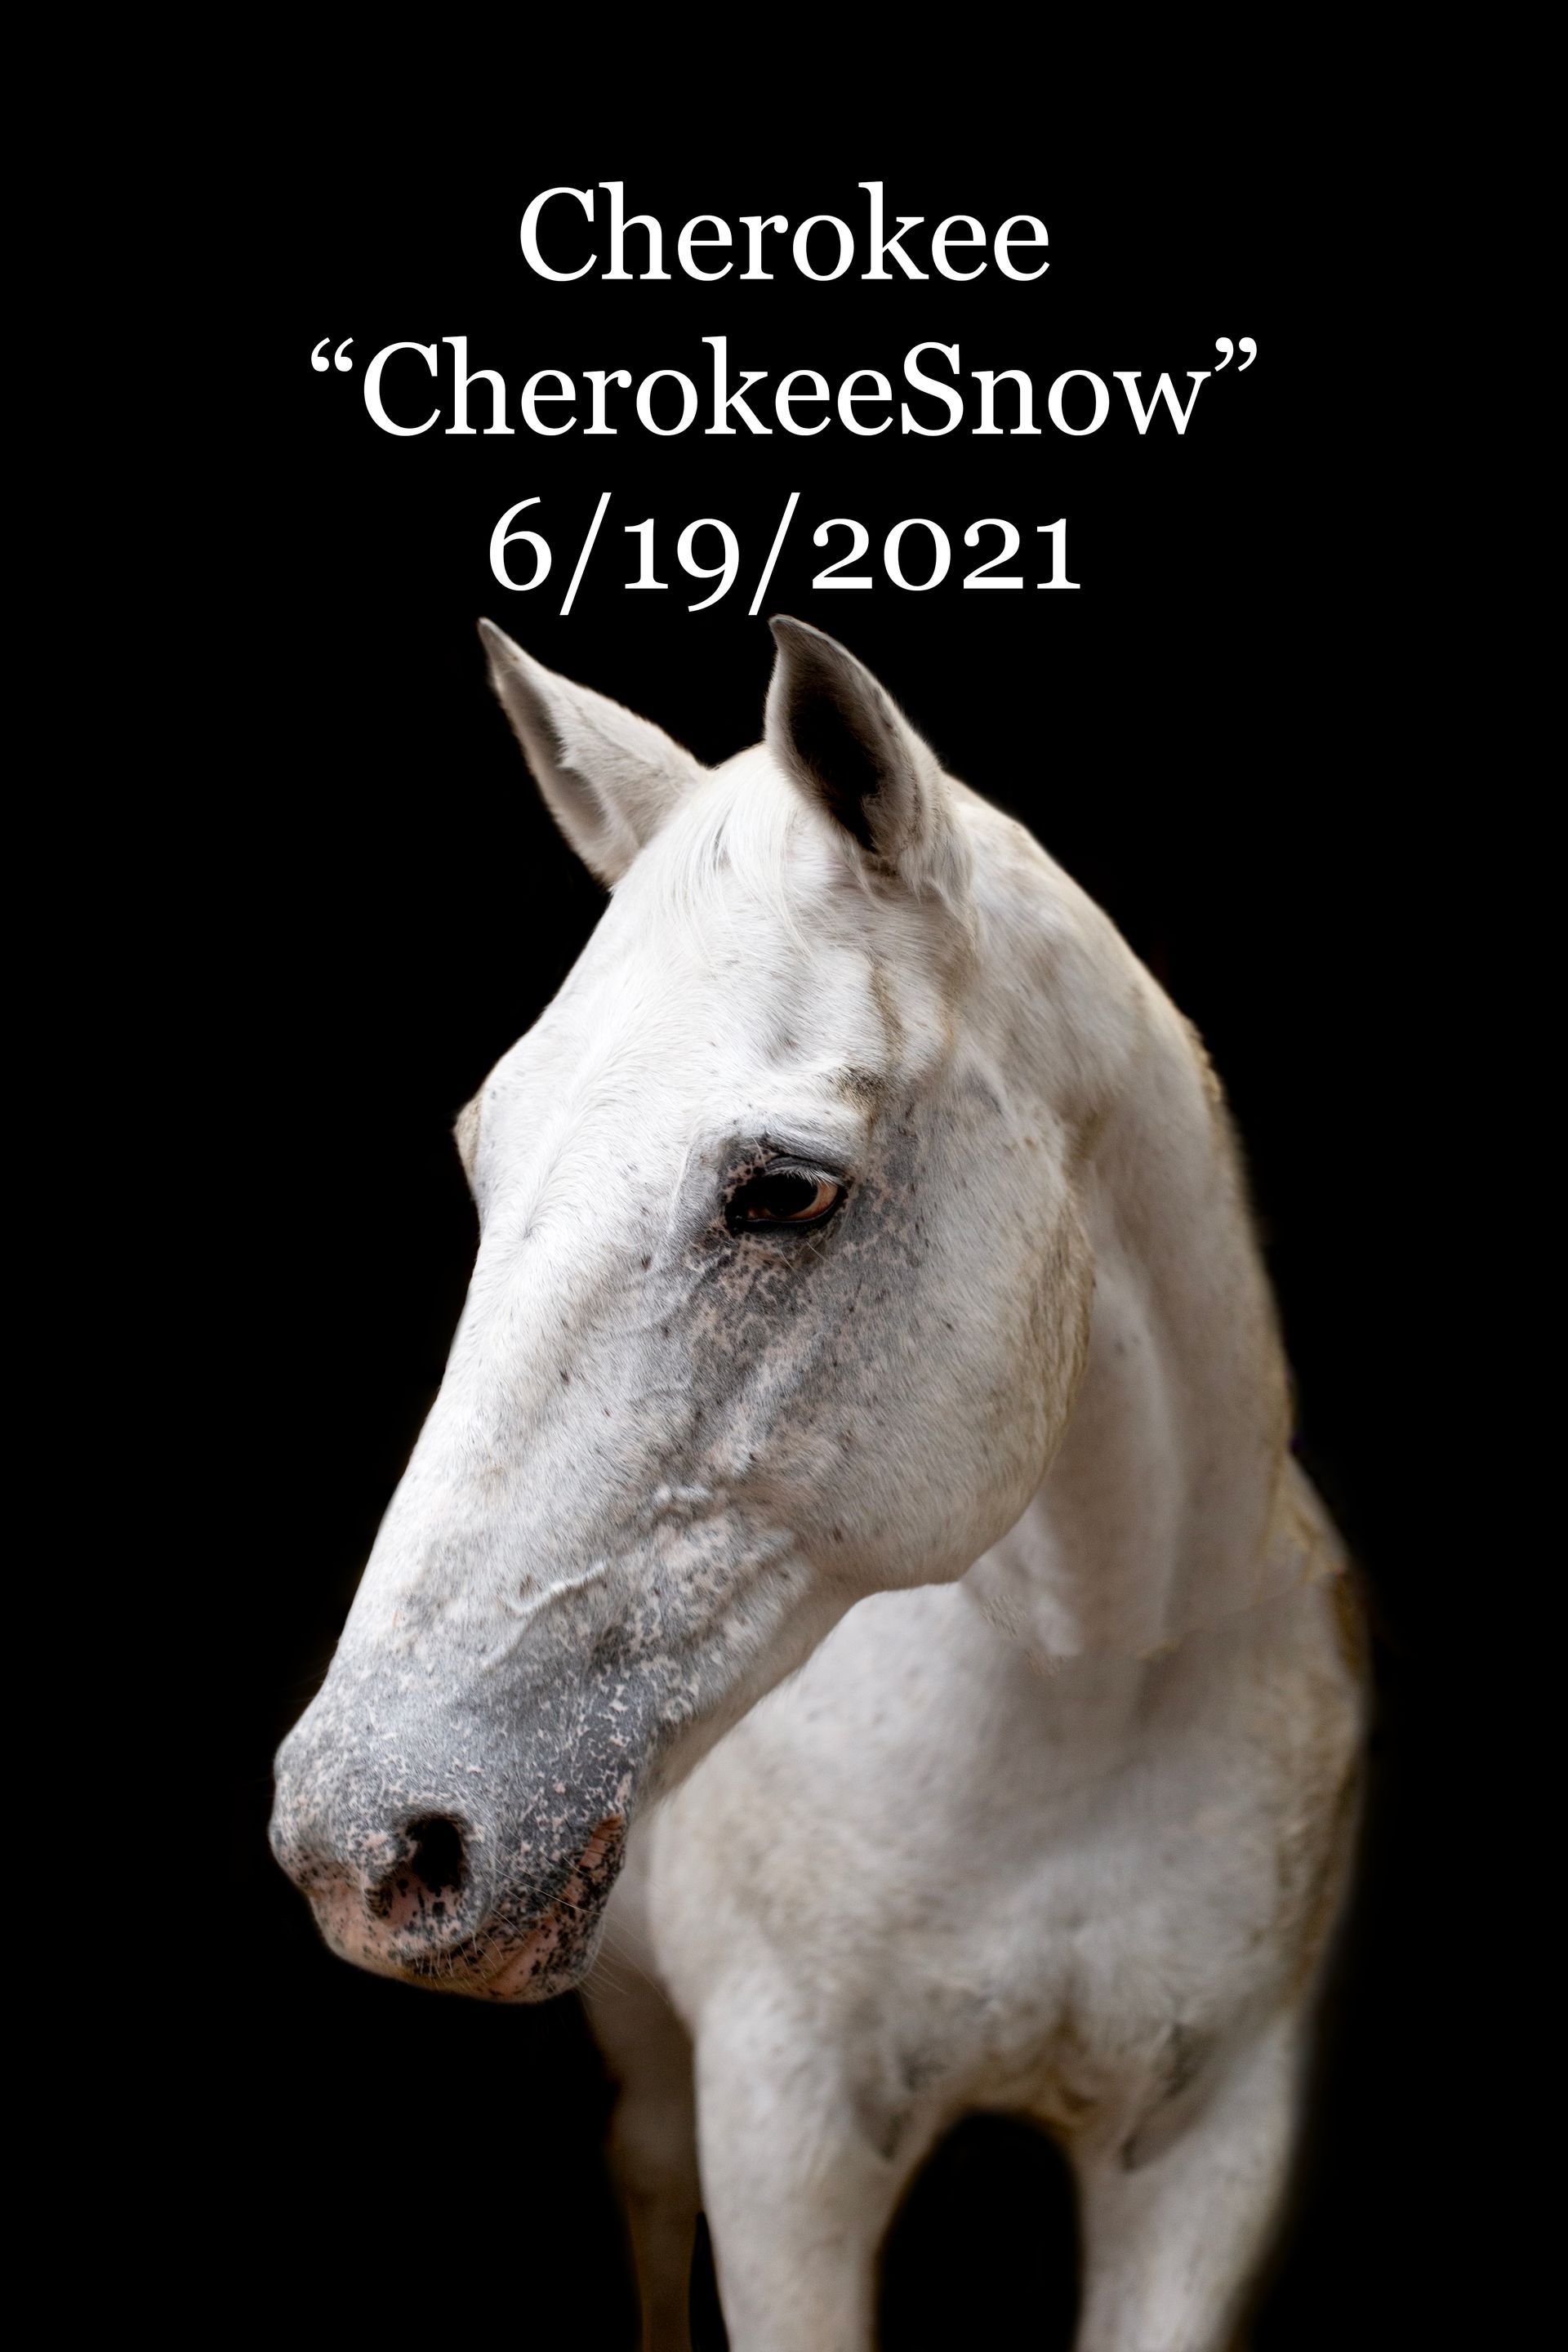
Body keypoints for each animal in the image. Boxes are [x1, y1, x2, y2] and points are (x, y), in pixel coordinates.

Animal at [271, 616, 1366, 2351]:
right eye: (481, 1156)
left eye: (783, 1190)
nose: (360, 1844)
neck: (1092, 1700)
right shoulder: (785, 2146)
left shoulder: (1205, 2159)